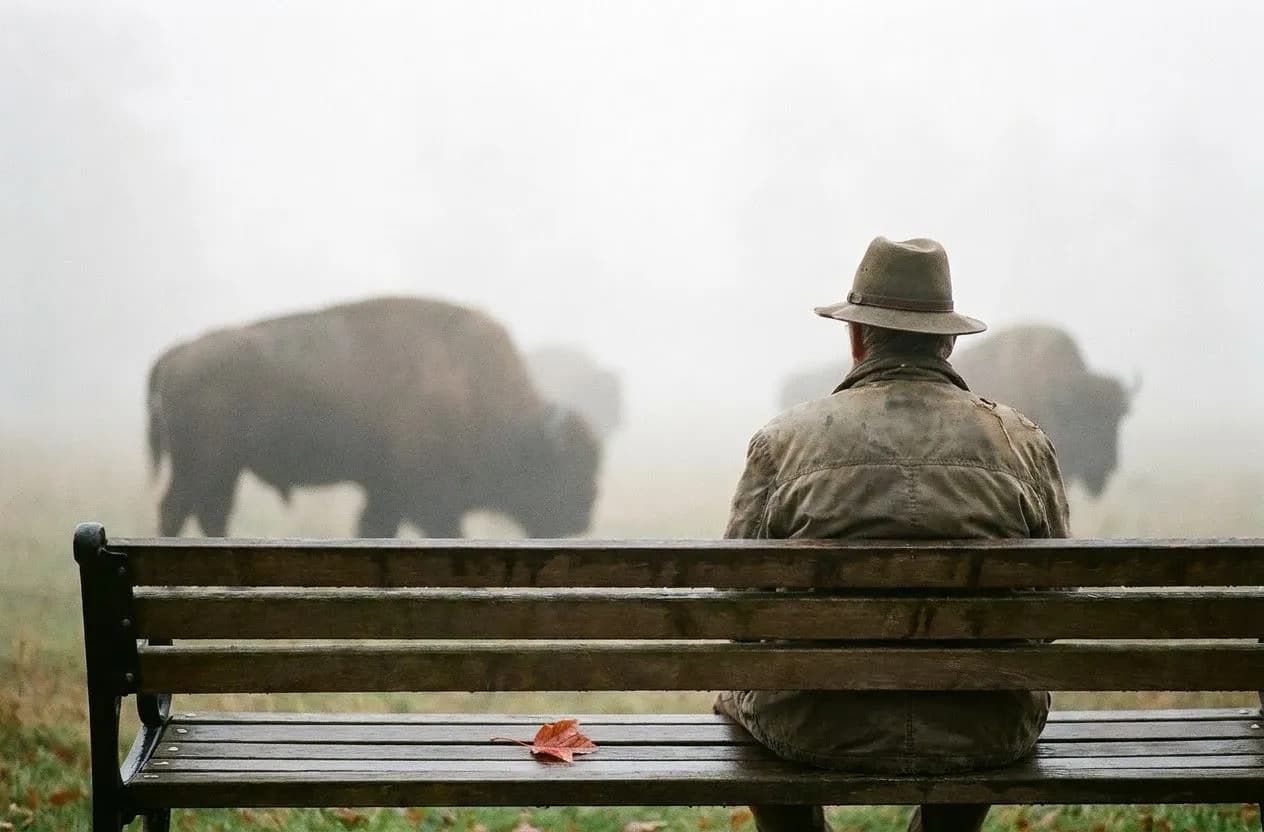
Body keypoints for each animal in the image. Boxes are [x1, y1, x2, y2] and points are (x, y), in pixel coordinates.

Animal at [148, 297, 601, 538]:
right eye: (563, 466)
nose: (581, 518)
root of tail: (180, 354)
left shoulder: (386, 493)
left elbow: (373, 528)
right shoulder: (427, 499)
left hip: (224, 469)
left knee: (210, 513)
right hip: (202, 465)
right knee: (179, 510)